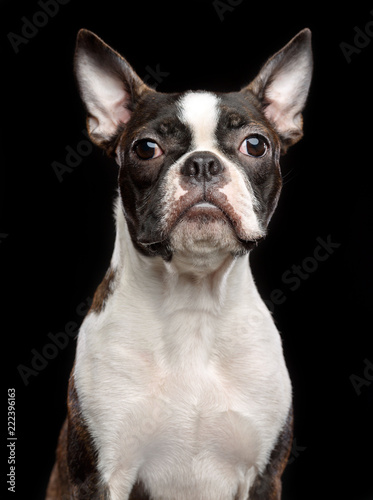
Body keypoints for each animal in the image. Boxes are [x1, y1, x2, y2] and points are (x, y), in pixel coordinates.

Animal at [45, 28, 310, 500]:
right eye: (146, 148)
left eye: (255, 145)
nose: (202, 163)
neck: (194, 303)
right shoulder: (99, 475)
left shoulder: (264, 476)